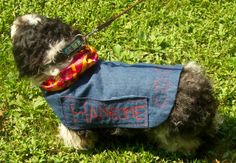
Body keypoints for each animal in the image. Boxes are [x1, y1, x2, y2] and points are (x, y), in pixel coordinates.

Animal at [10, 14, 218, 153]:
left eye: (20, 28)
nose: (16, 18)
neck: (69, 67)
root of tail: (203, 91)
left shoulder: (74, 118)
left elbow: (75, 136)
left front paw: (73, 145)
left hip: (172, 128)